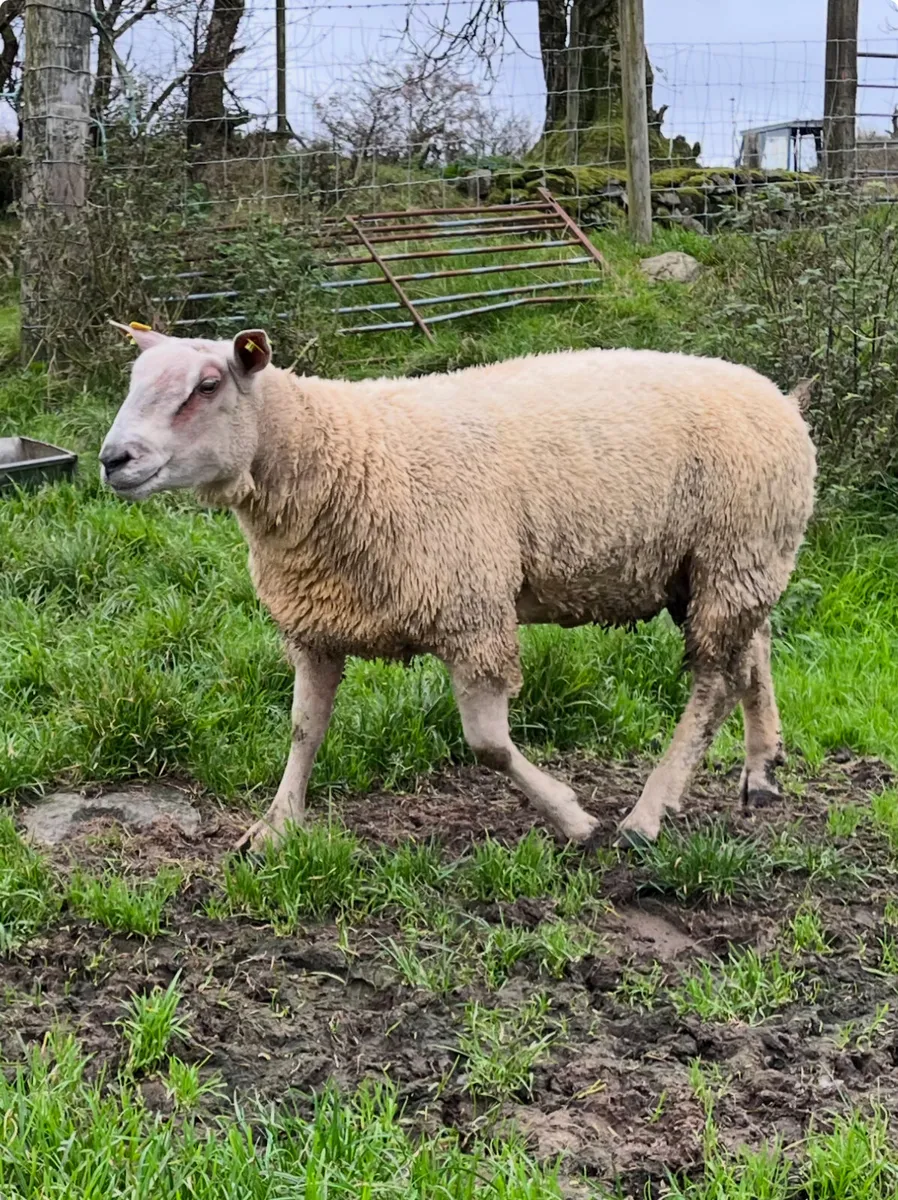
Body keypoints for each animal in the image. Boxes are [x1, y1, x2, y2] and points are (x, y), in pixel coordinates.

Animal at [100, 324, 816, 853]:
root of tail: (780, 398)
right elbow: (304, 730)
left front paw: (573, 818)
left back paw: (647, 814)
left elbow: (488, 746)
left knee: (714, 682)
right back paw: (761, 771)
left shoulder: (472, 614)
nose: (112, 459)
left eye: (207, 385)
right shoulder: (316, 624)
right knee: (754, 650)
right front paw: (275, 827)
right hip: (721, 563)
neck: (341, 455)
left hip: (734, 552)